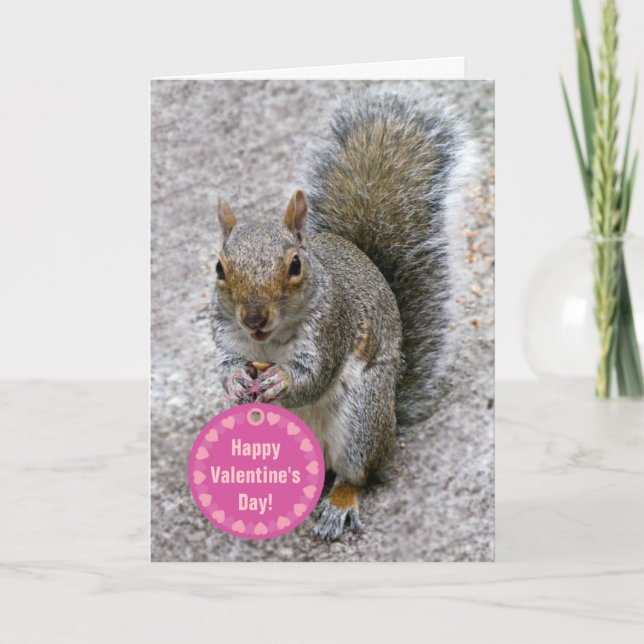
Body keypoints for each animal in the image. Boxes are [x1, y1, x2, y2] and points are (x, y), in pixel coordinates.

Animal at [211, 92, 471, 540]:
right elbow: (226, 363)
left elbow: (313, 378)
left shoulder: (333, 327)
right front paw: (235, 380)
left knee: (357, 474)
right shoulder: (227, 335)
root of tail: (391, 421)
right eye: (219, 269)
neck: (269, 344)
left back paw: (339, 504)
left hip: (361, 420)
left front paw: (281, 380)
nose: (254, 318)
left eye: (295, 265)